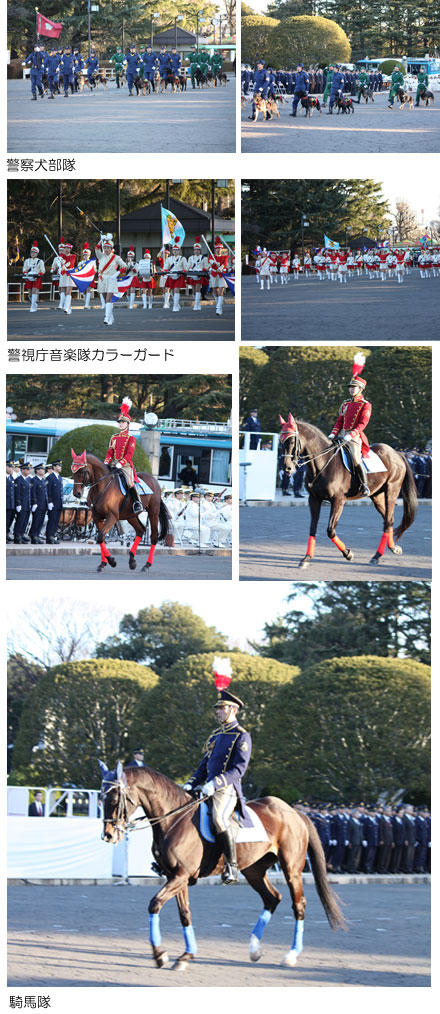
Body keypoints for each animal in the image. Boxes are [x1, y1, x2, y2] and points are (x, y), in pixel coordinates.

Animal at [100, 762, 346, 969]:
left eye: (115, 798)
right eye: (101, 797)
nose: (108, 835)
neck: (174, 820)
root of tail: (294, 812)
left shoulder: (180, 876)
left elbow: (154, 905)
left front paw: (160, 954)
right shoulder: (176, 877)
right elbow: (185, 913)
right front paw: (186, 955)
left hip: (291, 869)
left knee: (298, 905)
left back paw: (291, 955)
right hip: (254, 871)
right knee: (272, 898)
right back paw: (254, 949)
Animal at [279, 413, 417, 571]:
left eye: (291, 441)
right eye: (281, 441)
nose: (287, 468)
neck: (323, 462)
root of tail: (396, 453)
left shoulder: (338, 501)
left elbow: (330, 530)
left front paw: (348, 553)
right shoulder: (314, 499)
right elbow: (312, 528)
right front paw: (306, 558)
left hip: (391, 492)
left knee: (388, 520)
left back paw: (377, 556)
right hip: (377, 496)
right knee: (389, 520)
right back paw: (392, 548)